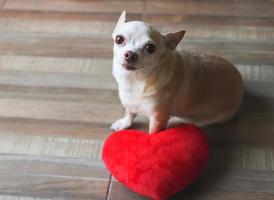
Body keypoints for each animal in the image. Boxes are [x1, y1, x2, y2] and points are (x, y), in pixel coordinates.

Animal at [110, 10, 243, 133]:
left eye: (150, 48)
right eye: (119, 39)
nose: (131, 54)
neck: (134, 80)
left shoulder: (158, 118)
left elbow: (153, 132)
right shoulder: (130, 103)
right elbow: (129, 113)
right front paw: (124, 123)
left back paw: (174, 121)